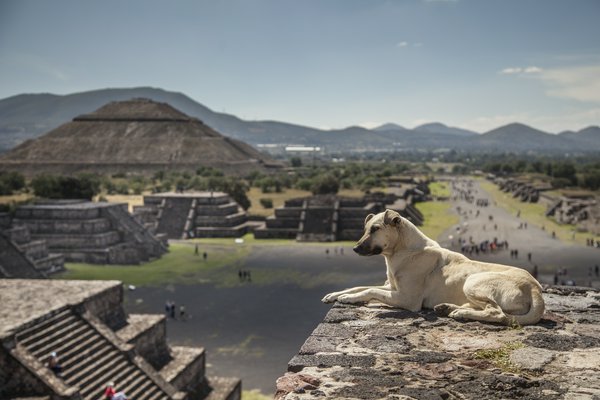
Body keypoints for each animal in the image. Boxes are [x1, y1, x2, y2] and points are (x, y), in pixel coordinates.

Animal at [326, 209, 548, 324]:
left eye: (375, 229)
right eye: (365, 229)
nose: (354, 248)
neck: (403, 251)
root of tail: (535, 288)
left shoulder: (407, 299)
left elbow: (370, 290)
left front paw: (348, 298)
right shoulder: (391, 287)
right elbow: (360, 286)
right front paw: (336, 294)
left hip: (473, 281)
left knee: (497, 313)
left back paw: (459, 313)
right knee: (487, 308)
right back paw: (447, 308)